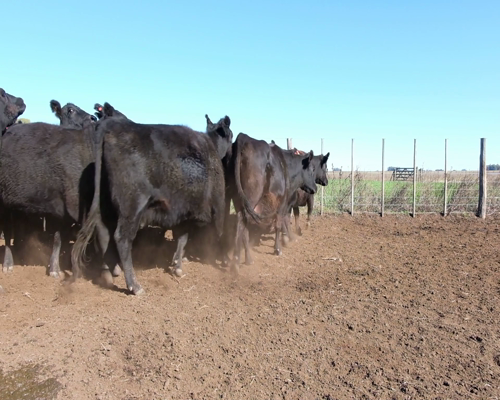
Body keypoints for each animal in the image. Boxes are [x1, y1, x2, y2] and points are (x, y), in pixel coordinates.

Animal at [71, 112, 233, 294]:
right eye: (231, 134)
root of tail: (112, 124)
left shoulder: (184, 213)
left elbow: (182, 238)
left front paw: (177, 265)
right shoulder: (217, 205)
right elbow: (219, 233)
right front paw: (224, 260)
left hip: (105, 206)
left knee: (104, 235)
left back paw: (109, 273)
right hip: (133, 206)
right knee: (122, 238)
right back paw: (134, 285)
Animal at [227, 133, 316, 270]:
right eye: (311, 169)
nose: (315, 188)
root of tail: (244, 137)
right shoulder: (282, 203)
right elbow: (279, 223)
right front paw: (278, 248)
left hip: (237, 198)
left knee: (243, 223)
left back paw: (248, 259)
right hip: (251, 197)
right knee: (242, 221)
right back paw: (236, 262)